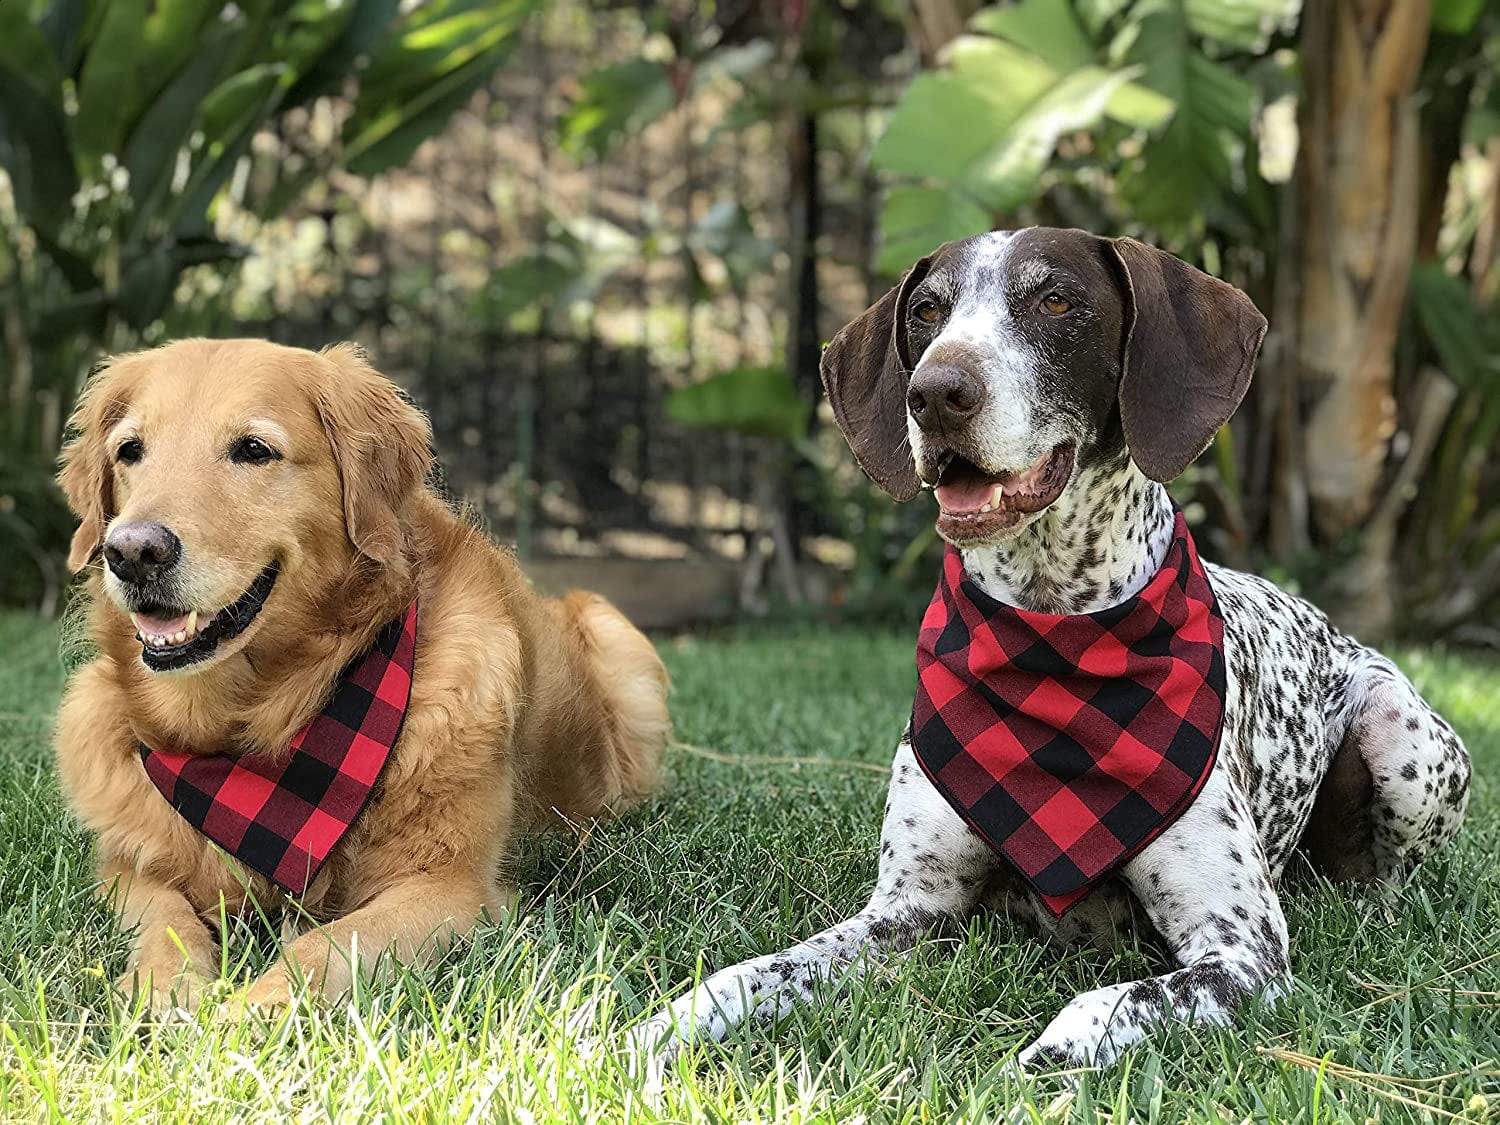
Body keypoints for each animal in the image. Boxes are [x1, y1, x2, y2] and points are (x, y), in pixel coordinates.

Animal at [630, 229, 1464, 1074]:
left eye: (1057, 300)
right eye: (926, 311)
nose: (935, 393)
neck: (1051, 630)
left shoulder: (1241, 949)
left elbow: (1104, 1006)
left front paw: (1032, 1062)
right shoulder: (906, 909)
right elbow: (752, 971)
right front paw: (652, 1029)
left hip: (1402, 733)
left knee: (1381, 880)